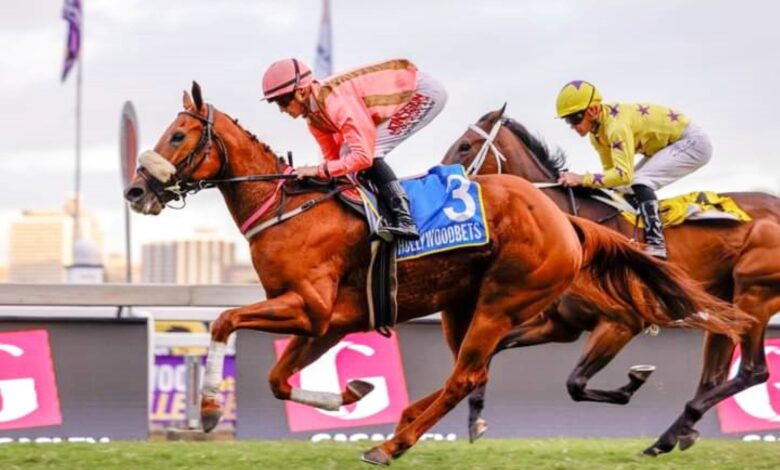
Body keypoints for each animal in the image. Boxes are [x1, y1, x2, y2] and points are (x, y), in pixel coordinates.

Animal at [122, 83, 736, 462]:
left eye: (178, 135)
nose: (135, 190)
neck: (289, 207)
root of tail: (565, 219)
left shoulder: (308, 307)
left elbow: (225, 321)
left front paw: (205, 410)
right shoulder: (326, 322)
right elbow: (276, 380)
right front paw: (353, 393)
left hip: (503, 301)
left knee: (468, 373)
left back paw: (390, 445)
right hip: (458, 307)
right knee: (468, 371)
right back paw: (405, 423)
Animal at [442, 109, 776, 456]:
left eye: (464, 146)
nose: (438, 177)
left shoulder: (620, 324)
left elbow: (575, 385)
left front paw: (635, 380)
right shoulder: (559, 325)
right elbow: (491, 351)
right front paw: (476, 419)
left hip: (754, 295)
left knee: (753, 371)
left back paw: (670, 434)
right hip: (726, 306)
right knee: (713, 376)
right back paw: (677, 434)